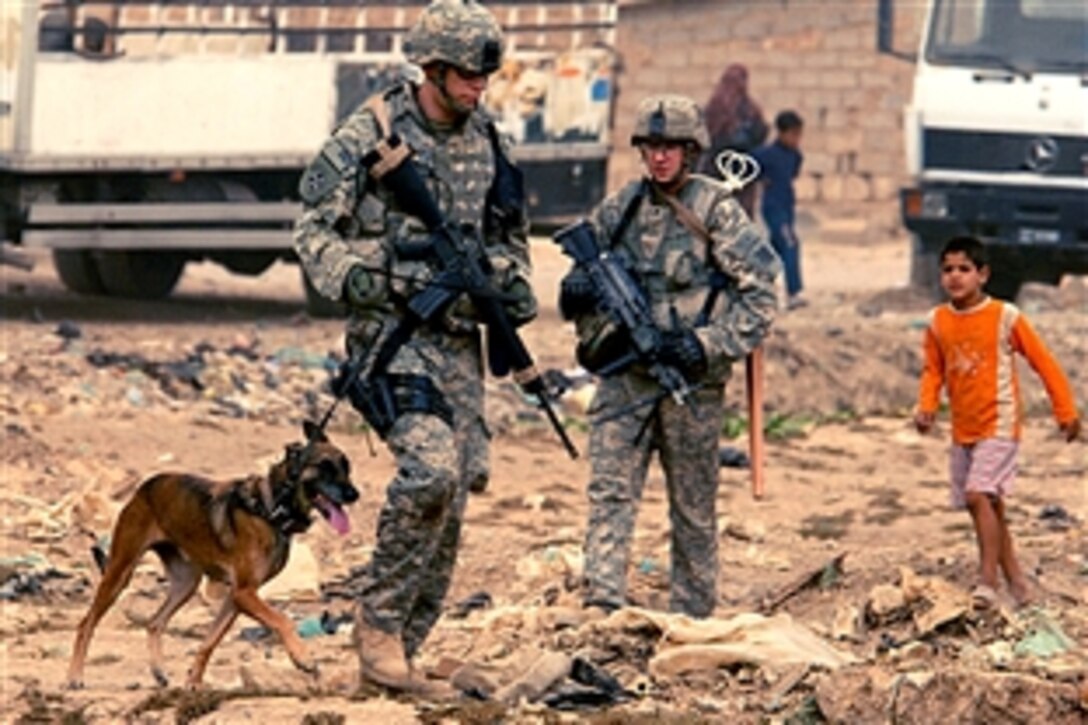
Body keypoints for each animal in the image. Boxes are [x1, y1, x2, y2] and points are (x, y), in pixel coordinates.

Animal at [66, 420, 356, 687]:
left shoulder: (237, 598)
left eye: (346, 467)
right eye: (325, 468)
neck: (271, 507)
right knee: (86, 623)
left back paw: (159, 670)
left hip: (186, 583)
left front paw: (194, 682)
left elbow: (209, 642)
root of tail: (144, 487)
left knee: (155, 622)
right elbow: (282, 620)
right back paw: (75, 676)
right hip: (120, 572)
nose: (354, 494)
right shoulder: (244, 593)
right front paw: (302, 657)